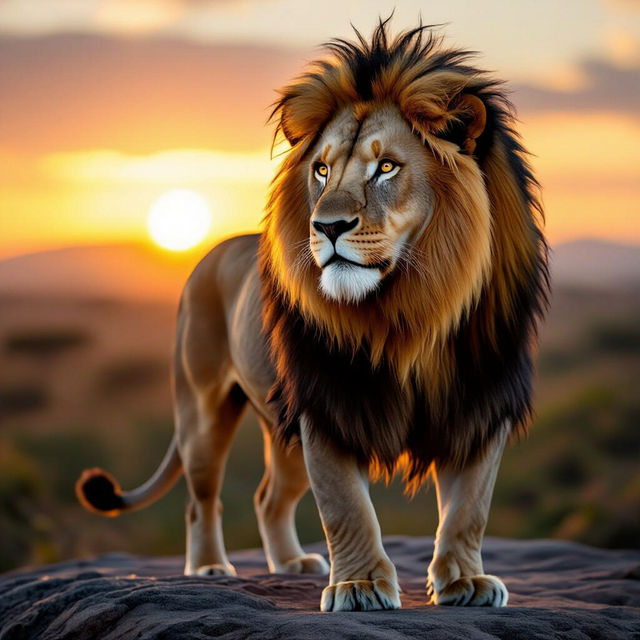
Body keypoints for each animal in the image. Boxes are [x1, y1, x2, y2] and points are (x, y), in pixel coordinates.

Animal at [76, 20, 549, 612]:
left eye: (386, 167)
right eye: (321, 170)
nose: (326, 227)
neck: (413, 309)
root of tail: (208, 252)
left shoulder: (481, 403)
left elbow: (470, 508)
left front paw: (465, 582)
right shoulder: (326, 404)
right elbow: (346, 507)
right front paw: (360, 586)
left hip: (282, 433)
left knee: (268, 498)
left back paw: (292, 564)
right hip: (204, 411)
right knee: (201, 499)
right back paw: (208, 567)